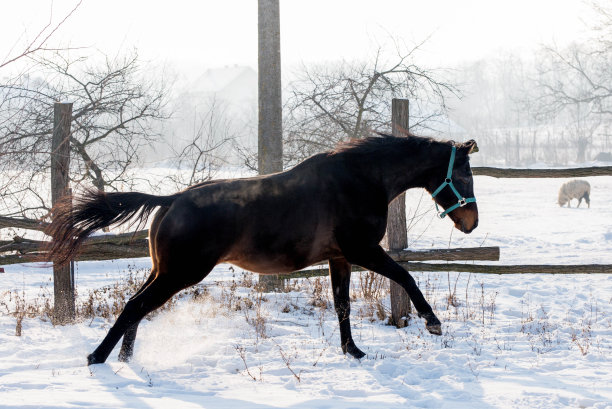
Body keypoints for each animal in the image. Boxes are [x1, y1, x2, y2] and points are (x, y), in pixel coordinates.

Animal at [46, 133, 478, 364]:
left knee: (136, 307)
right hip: (179, 274)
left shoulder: (340, 258)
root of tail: (171, 201)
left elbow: (342, 305)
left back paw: (123, 359)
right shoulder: (363, 250)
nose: (471, 222)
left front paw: (352, 351)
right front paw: (433, 322)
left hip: (163, 272)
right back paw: (98, 358)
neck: (361, 179)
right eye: (462, 175)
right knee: (135, 306)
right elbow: (406, 276)